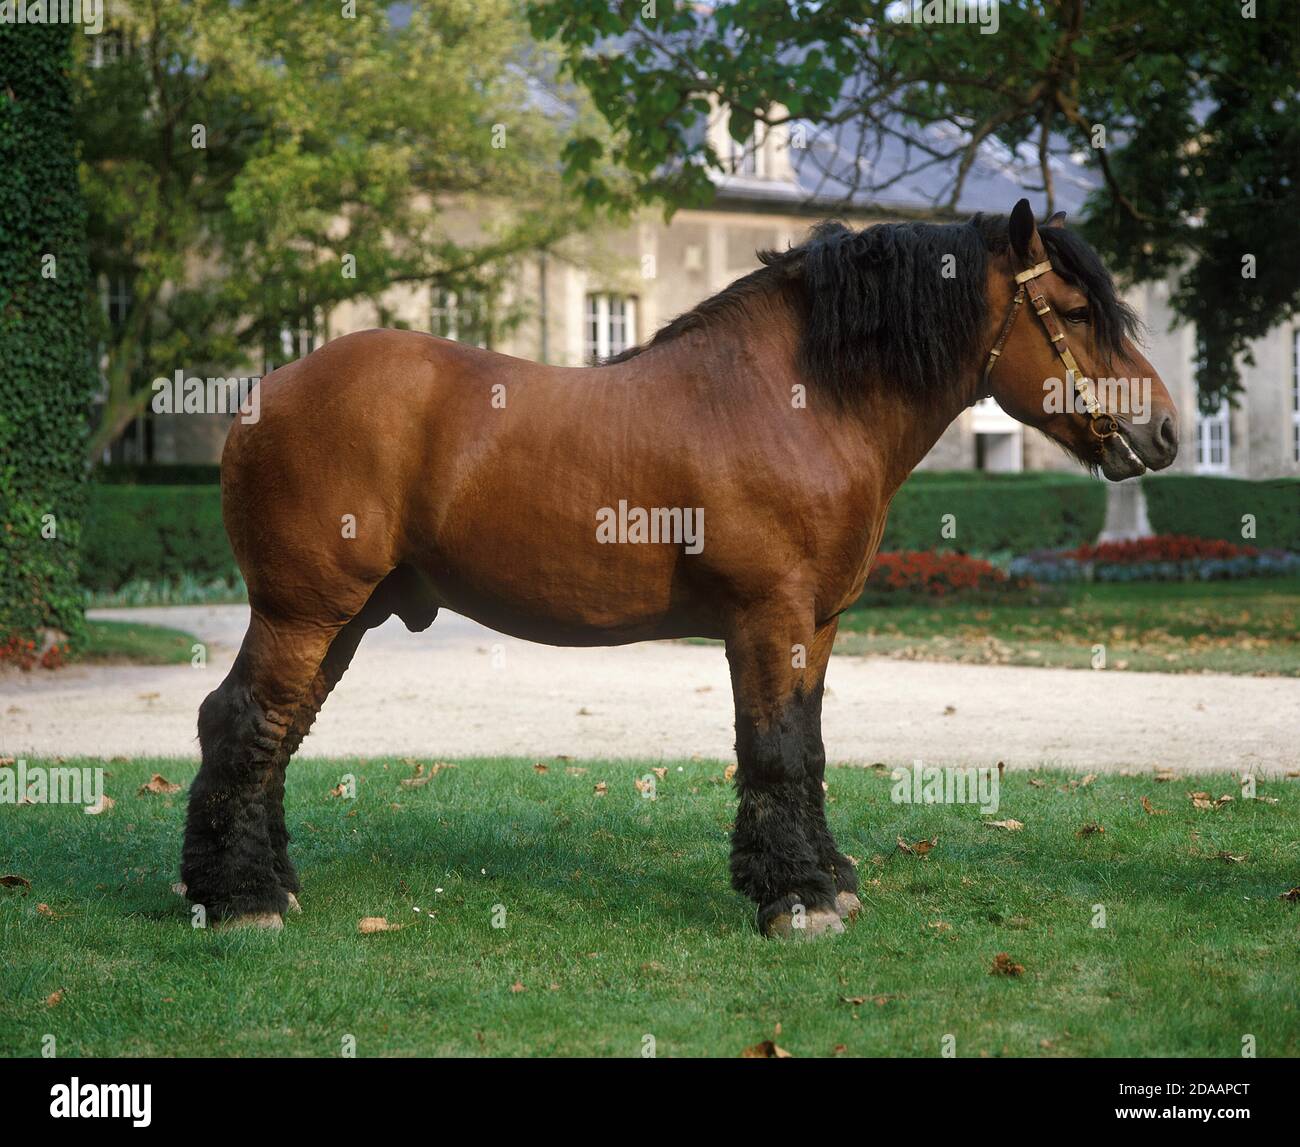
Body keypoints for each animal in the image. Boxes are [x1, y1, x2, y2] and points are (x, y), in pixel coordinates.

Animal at [181, 199, 1178, 936]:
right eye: (1078, 313)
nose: (1164, 429)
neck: (799, 397)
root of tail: (264, 393)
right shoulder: (770, 617)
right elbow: (775, 749)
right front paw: (797, 900)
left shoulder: (817, 624)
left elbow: (809, 746)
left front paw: (826, 877)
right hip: (304, 610)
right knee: (241, 722)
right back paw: (243, 902)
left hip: (344, 619)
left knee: (277, 733)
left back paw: (264, 883)